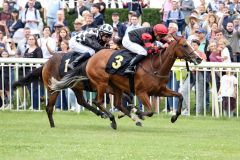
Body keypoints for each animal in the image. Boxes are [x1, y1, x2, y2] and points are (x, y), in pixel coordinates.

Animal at [49, 35, 202, 124]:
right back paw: (113, 118)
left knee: (114, 103)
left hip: (113, 86)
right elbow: (150, 111)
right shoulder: (141, 92)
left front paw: (174, 117)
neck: (155, 67)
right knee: (97, 101)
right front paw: (137, 111)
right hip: (101, 83)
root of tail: (91, 59)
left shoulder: (160, 90)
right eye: (184, 45)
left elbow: (180, 95)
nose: (199, 58)